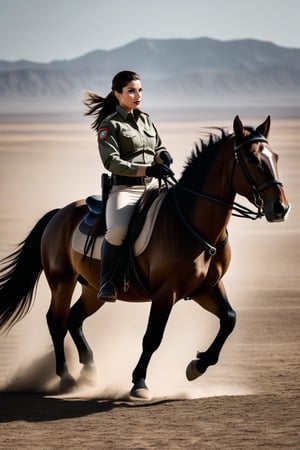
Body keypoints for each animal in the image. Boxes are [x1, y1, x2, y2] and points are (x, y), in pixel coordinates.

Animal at [0, 117, 290, 400]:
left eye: (275, 157)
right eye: (252, 159)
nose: (281, 208)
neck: (192, 224)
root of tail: (60, 212)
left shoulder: (207, 288)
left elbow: (229, 319)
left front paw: (197, 365)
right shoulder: (166, 293)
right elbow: (153, 336)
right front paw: (139, 382)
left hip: (93, 289)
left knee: (74, 318)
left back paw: (89, 371)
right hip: (62, 282)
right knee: (57, 321)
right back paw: (67, 378)